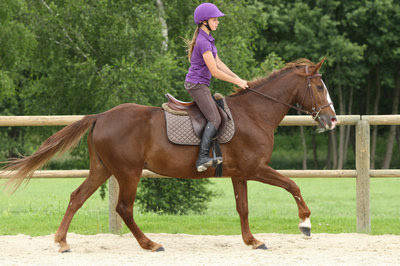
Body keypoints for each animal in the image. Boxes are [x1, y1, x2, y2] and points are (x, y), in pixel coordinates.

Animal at [4, 58, 338, 251]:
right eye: (320, 87)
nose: (332, 120)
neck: (255, 114)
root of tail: (101, 116)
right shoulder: (256, 168)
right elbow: (293, 185)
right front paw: (305, 224)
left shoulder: (240, 173)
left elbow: (243, 207)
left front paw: (252, 241)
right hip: (128, 172)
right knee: (123, 208)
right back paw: (150, 244)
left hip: (102, 169)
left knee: (77, 197)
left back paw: (62, 242)